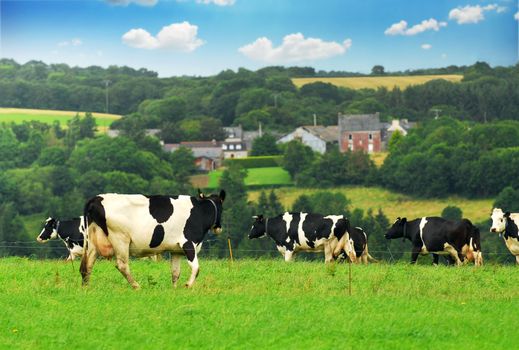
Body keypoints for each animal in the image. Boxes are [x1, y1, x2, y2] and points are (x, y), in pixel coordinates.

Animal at [80, 191, 224, 290]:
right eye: (222, 208)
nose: (219, 228)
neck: (199, 211)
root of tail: (97, 198)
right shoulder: (188, 243)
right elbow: (196, 267)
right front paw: (188, 285)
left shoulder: (176, 250)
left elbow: (175, 272)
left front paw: (174, 289)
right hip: (120, 239)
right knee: (122, 265)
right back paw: (136, 286)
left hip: (92, 241)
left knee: (87, 265)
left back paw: (86, 287)